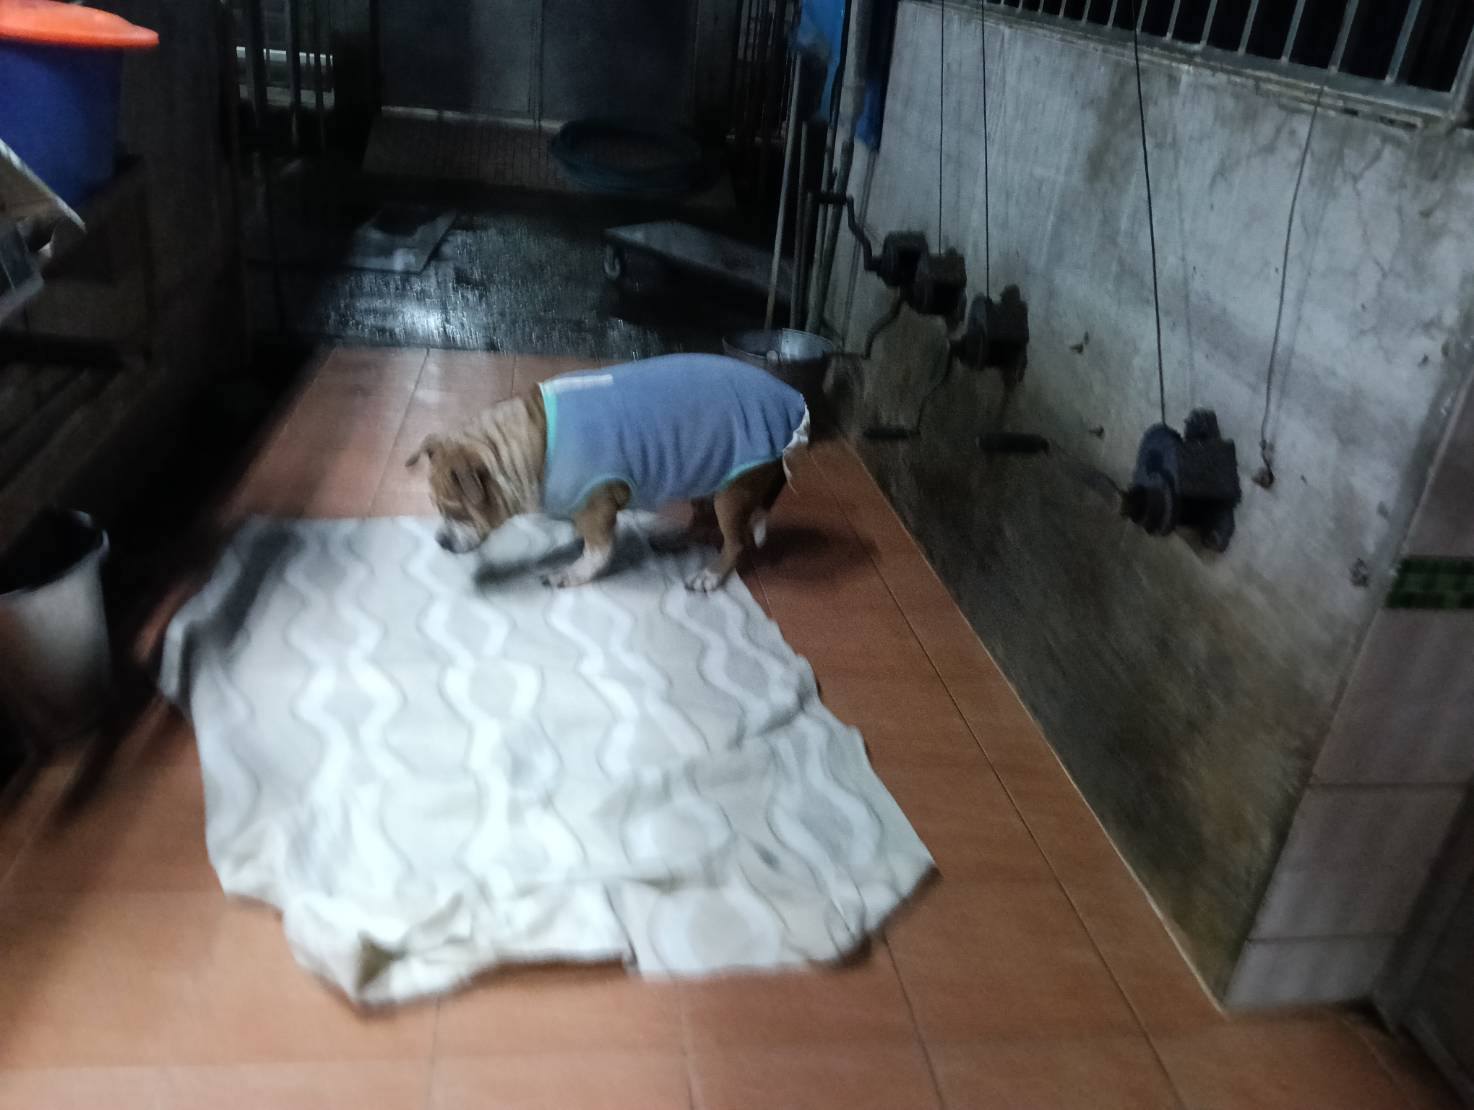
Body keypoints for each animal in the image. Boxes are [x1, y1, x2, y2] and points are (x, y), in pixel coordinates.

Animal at [407, 353, 810, 591]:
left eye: (455, 510)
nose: (440, 541)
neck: (522, 444)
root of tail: (792, 406)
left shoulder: (596, 505)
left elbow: (597, 552)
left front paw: (571, 573)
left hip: (734, 490)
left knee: (735, 540)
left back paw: (710, 575)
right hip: (709, 472)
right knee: (702, 519)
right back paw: (675, 539)